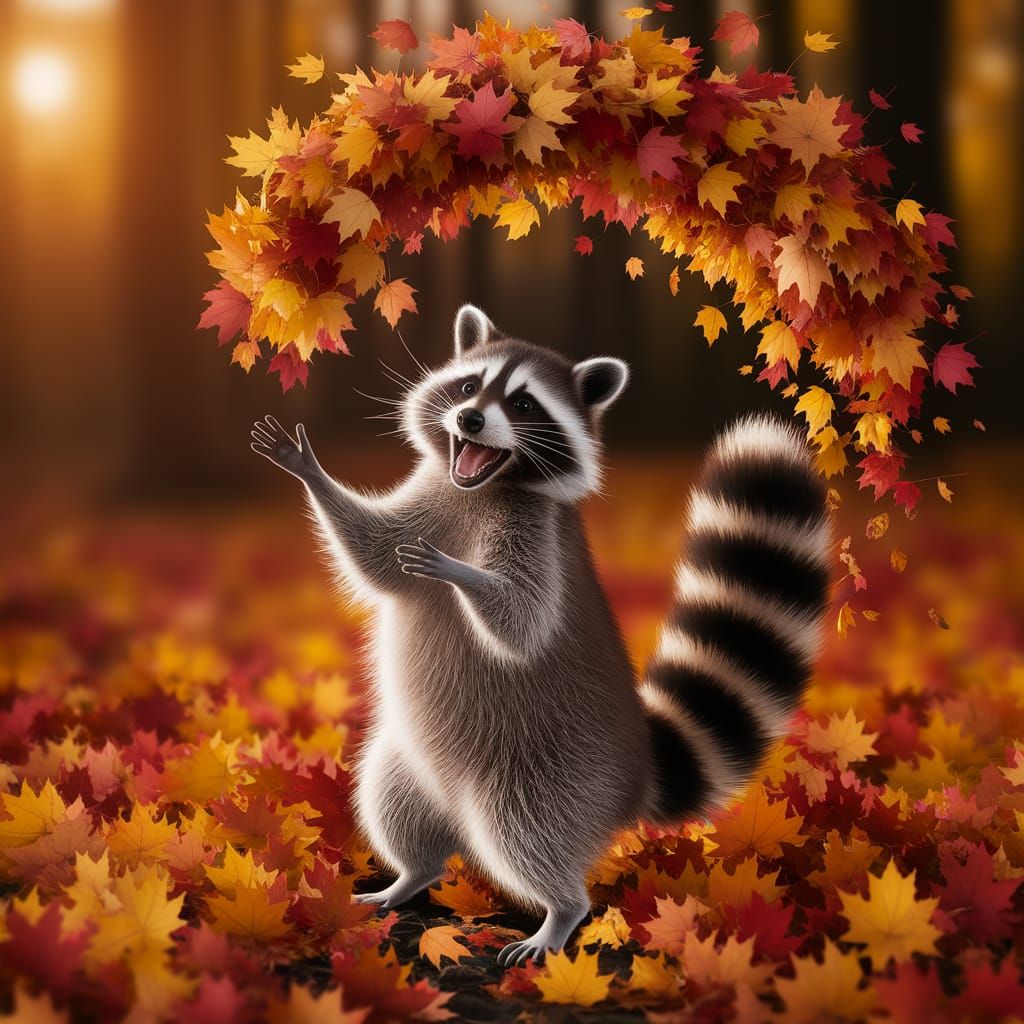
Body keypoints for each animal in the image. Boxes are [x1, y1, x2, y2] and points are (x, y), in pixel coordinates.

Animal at [251, 304, 831, 965]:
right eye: (469, 387)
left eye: (524, 404)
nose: (470, 419)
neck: (484, 487)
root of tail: (637, 774)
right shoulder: (429, 499)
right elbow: (374, 554)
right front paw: (312, 473)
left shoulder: (536, 534)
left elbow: (522, 623)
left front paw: (463, 574)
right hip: (411, 764)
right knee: (392, 803)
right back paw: (410, 875)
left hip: (549, 776)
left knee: (526, 836)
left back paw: (560, 913)